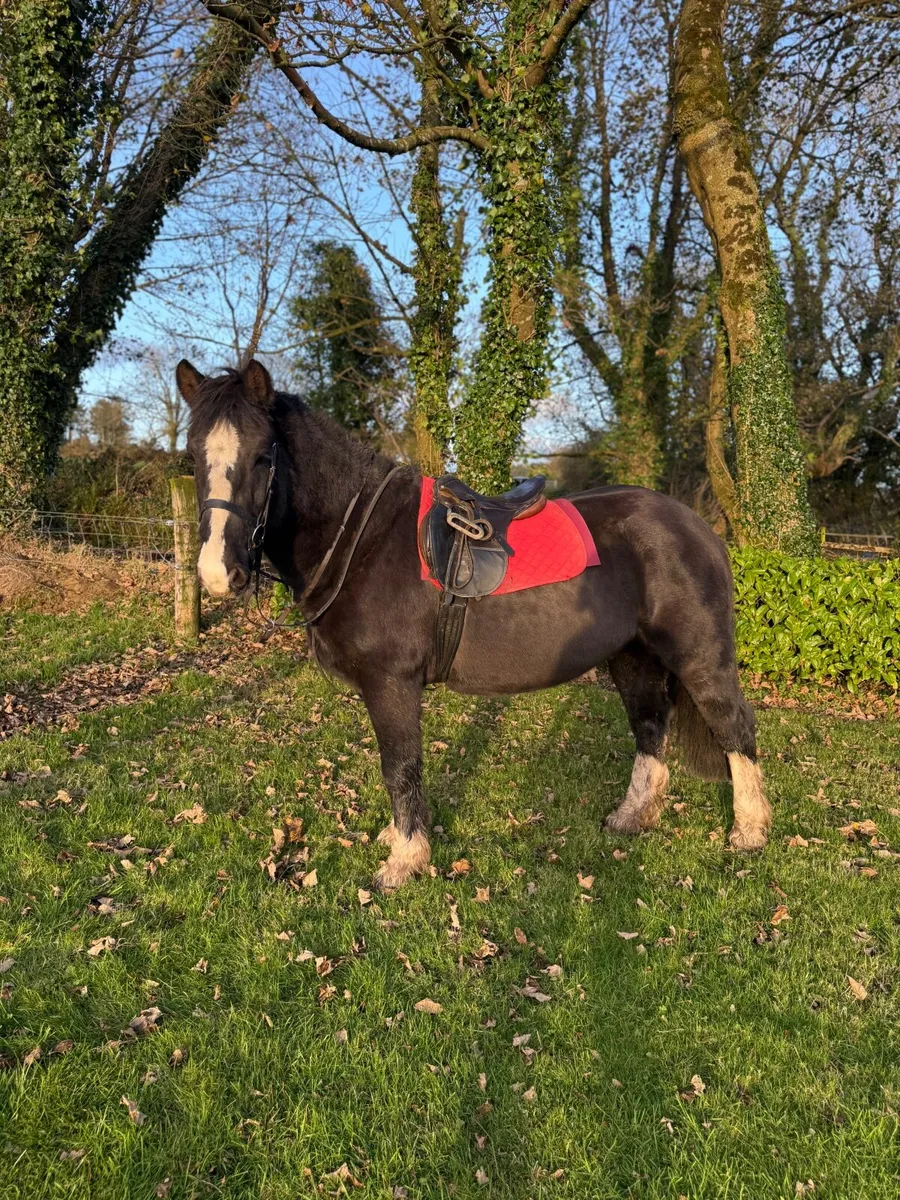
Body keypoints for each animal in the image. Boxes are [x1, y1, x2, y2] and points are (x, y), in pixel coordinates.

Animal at [177, 358, 770, 889]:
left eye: (262, 457)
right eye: (192, 457)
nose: (217, 573)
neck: (362, 538)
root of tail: (698, 526)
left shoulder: (391, 684)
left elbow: (400, 767)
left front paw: (404, 861)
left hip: (700, 659)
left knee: (735, 728)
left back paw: (750, 833)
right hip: (632, 658)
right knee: (650, 728)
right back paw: (632, 818)